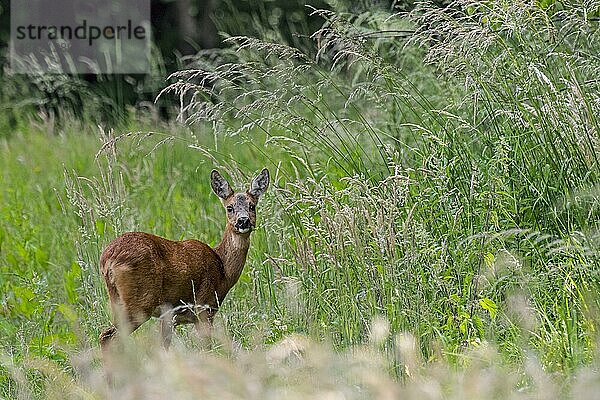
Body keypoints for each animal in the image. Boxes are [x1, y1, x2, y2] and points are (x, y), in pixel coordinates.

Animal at [99, 169, 270, 350]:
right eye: (229, 208)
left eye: (252, 206)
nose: (243, 221)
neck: (222, 269)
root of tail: (107, 260)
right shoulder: (204, 308)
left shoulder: (170, 317)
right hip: (140, 301)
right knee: (108, 336)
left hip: (118, 300)